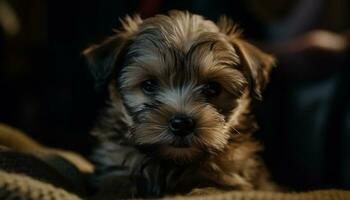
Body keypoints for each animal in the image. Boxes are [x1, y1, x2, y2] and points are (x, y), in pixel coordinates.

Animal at [84, 10, 276, 198]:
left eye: (213, 88)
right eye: (149, 85)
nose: (182, 123)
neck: (172, 162)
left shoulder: (232, 179)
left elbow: (212, 190)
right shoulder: (117, 167)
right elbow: (115, 185)